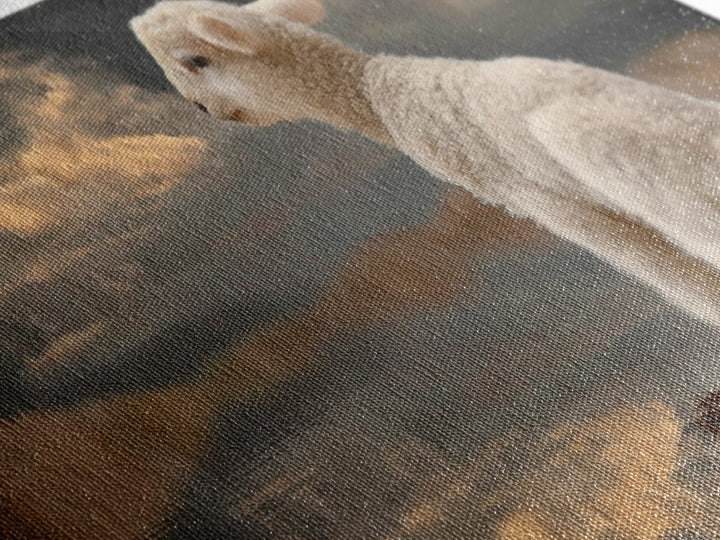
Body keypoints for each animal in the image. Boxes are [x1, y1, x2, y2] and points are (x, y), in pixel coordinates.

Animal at [131, 0, 720, 328]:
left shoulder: (546, 199)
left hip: (629, 167)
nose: (205, 112)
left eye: (195, 60)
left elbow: (675, 280)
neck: (376, 89)